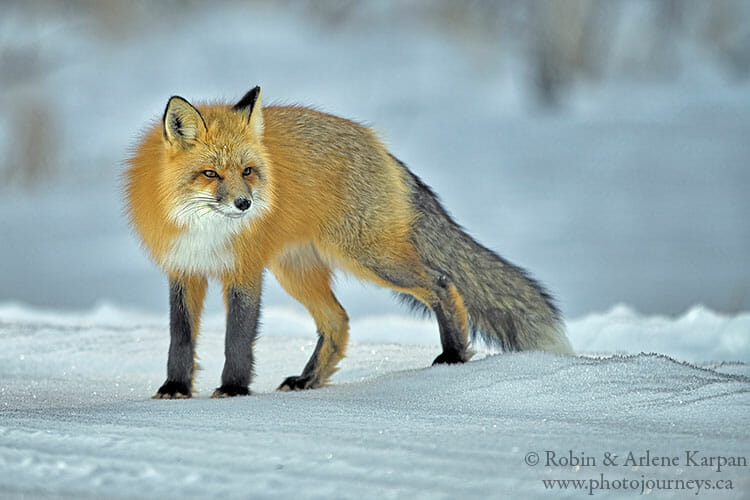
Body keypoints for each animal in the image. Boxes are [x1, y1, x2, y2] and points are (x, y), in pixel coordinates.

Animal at [123, 86, 572, 398]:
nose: (244, 204)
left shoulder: (245, 271)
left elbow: (238, 338)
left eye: (248, 171)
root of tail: (378, 144)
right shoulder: (184, 270)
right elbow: (180, 338)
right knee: (338, 320)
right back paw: (308, 380)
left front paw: (233, 389)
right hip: (298, 271)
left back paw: (454, 356)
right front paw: (175, 389)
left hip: (369, 257)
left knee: (443, 282)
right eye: (211, 174)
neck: (205, 230)